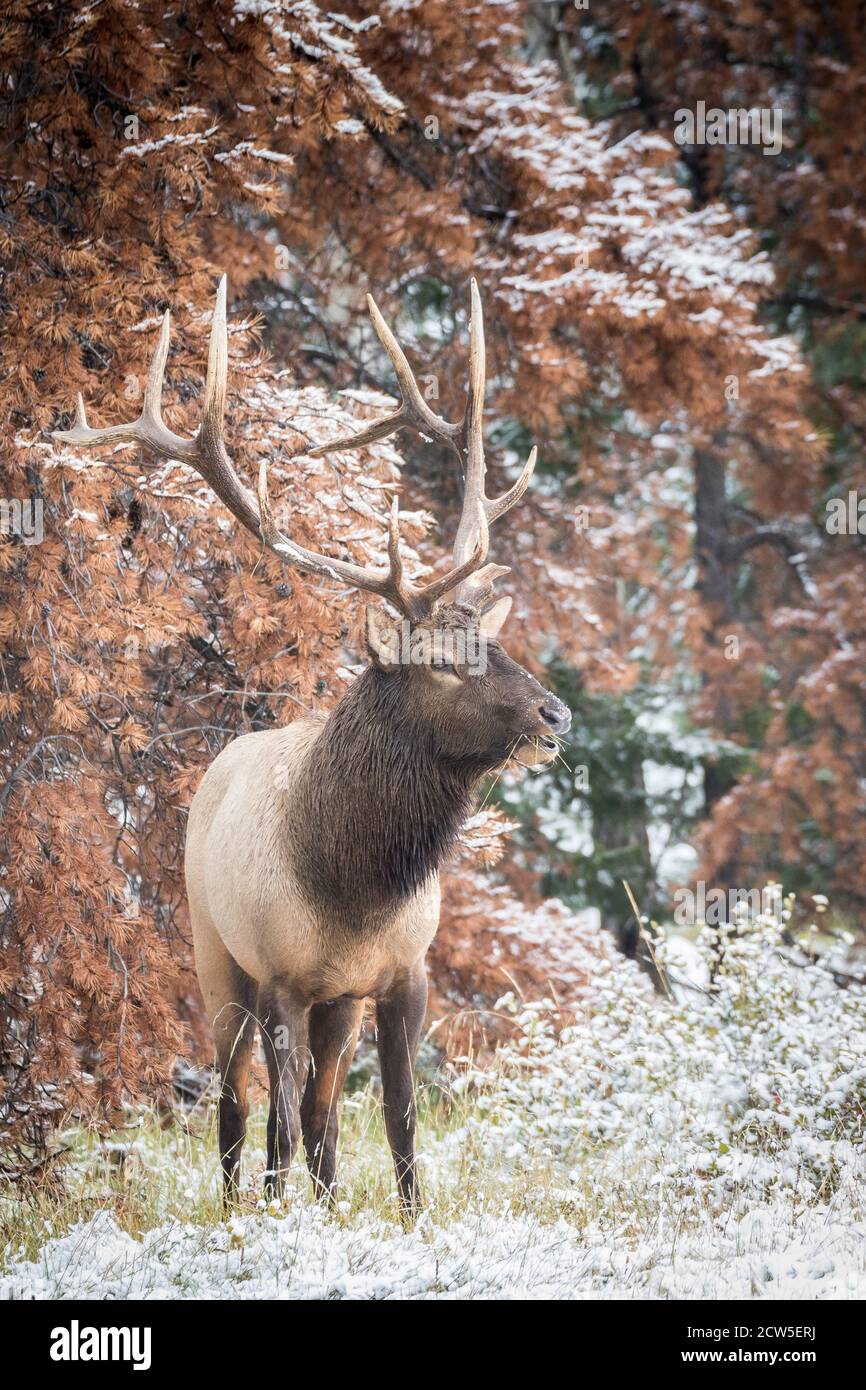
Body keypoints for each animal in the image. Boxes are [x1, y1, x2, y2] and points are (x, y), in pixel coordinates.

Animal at [52, 276, 569, 1212]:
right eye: (445, 662)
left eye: (499, 642)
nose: (555, 715)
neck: (354, 887)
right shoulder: (282, 976)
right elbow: (280, 1127)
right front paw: (275, 1222)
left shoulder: (401, 976)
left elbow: (399, 1119)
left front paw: (409, 1223)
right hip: (216, 956)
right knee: (239, 1106)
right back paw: (234, 1211)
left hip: (338, 1004)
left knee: (324, 1114)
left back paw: (320, 1205)